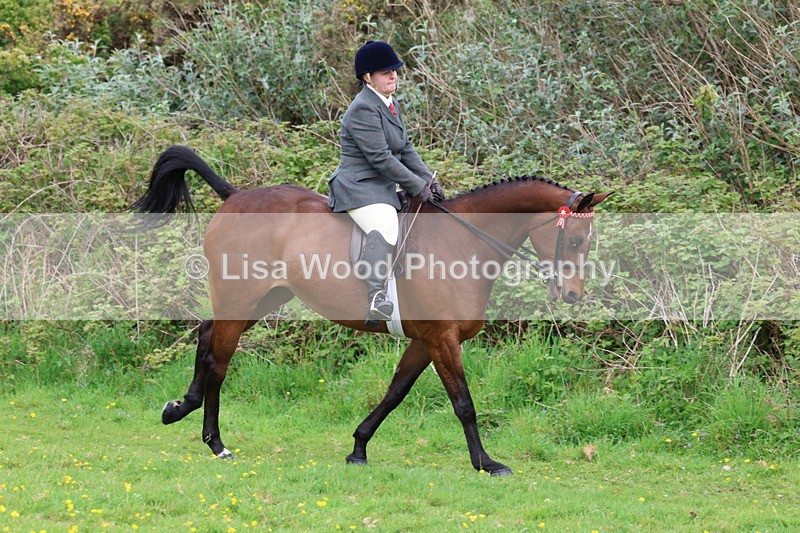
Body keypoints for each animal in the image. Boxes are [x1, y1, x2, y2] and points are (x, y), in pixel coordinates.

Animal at [132, 145, 611, 476]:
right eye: (574, 240)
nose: (573, 295)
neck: (464, 241)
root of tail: (235, 197)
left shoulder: (425, 340)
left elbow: (395, 393)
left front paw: (358, 448)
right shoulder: (442, 338)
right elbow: (463, 403)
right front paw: (486, 463)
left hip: (262, 298)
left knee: (207, 335)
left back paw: (180, 408)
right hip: (241, 299)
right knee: (219, 359)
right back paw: (216, 442)